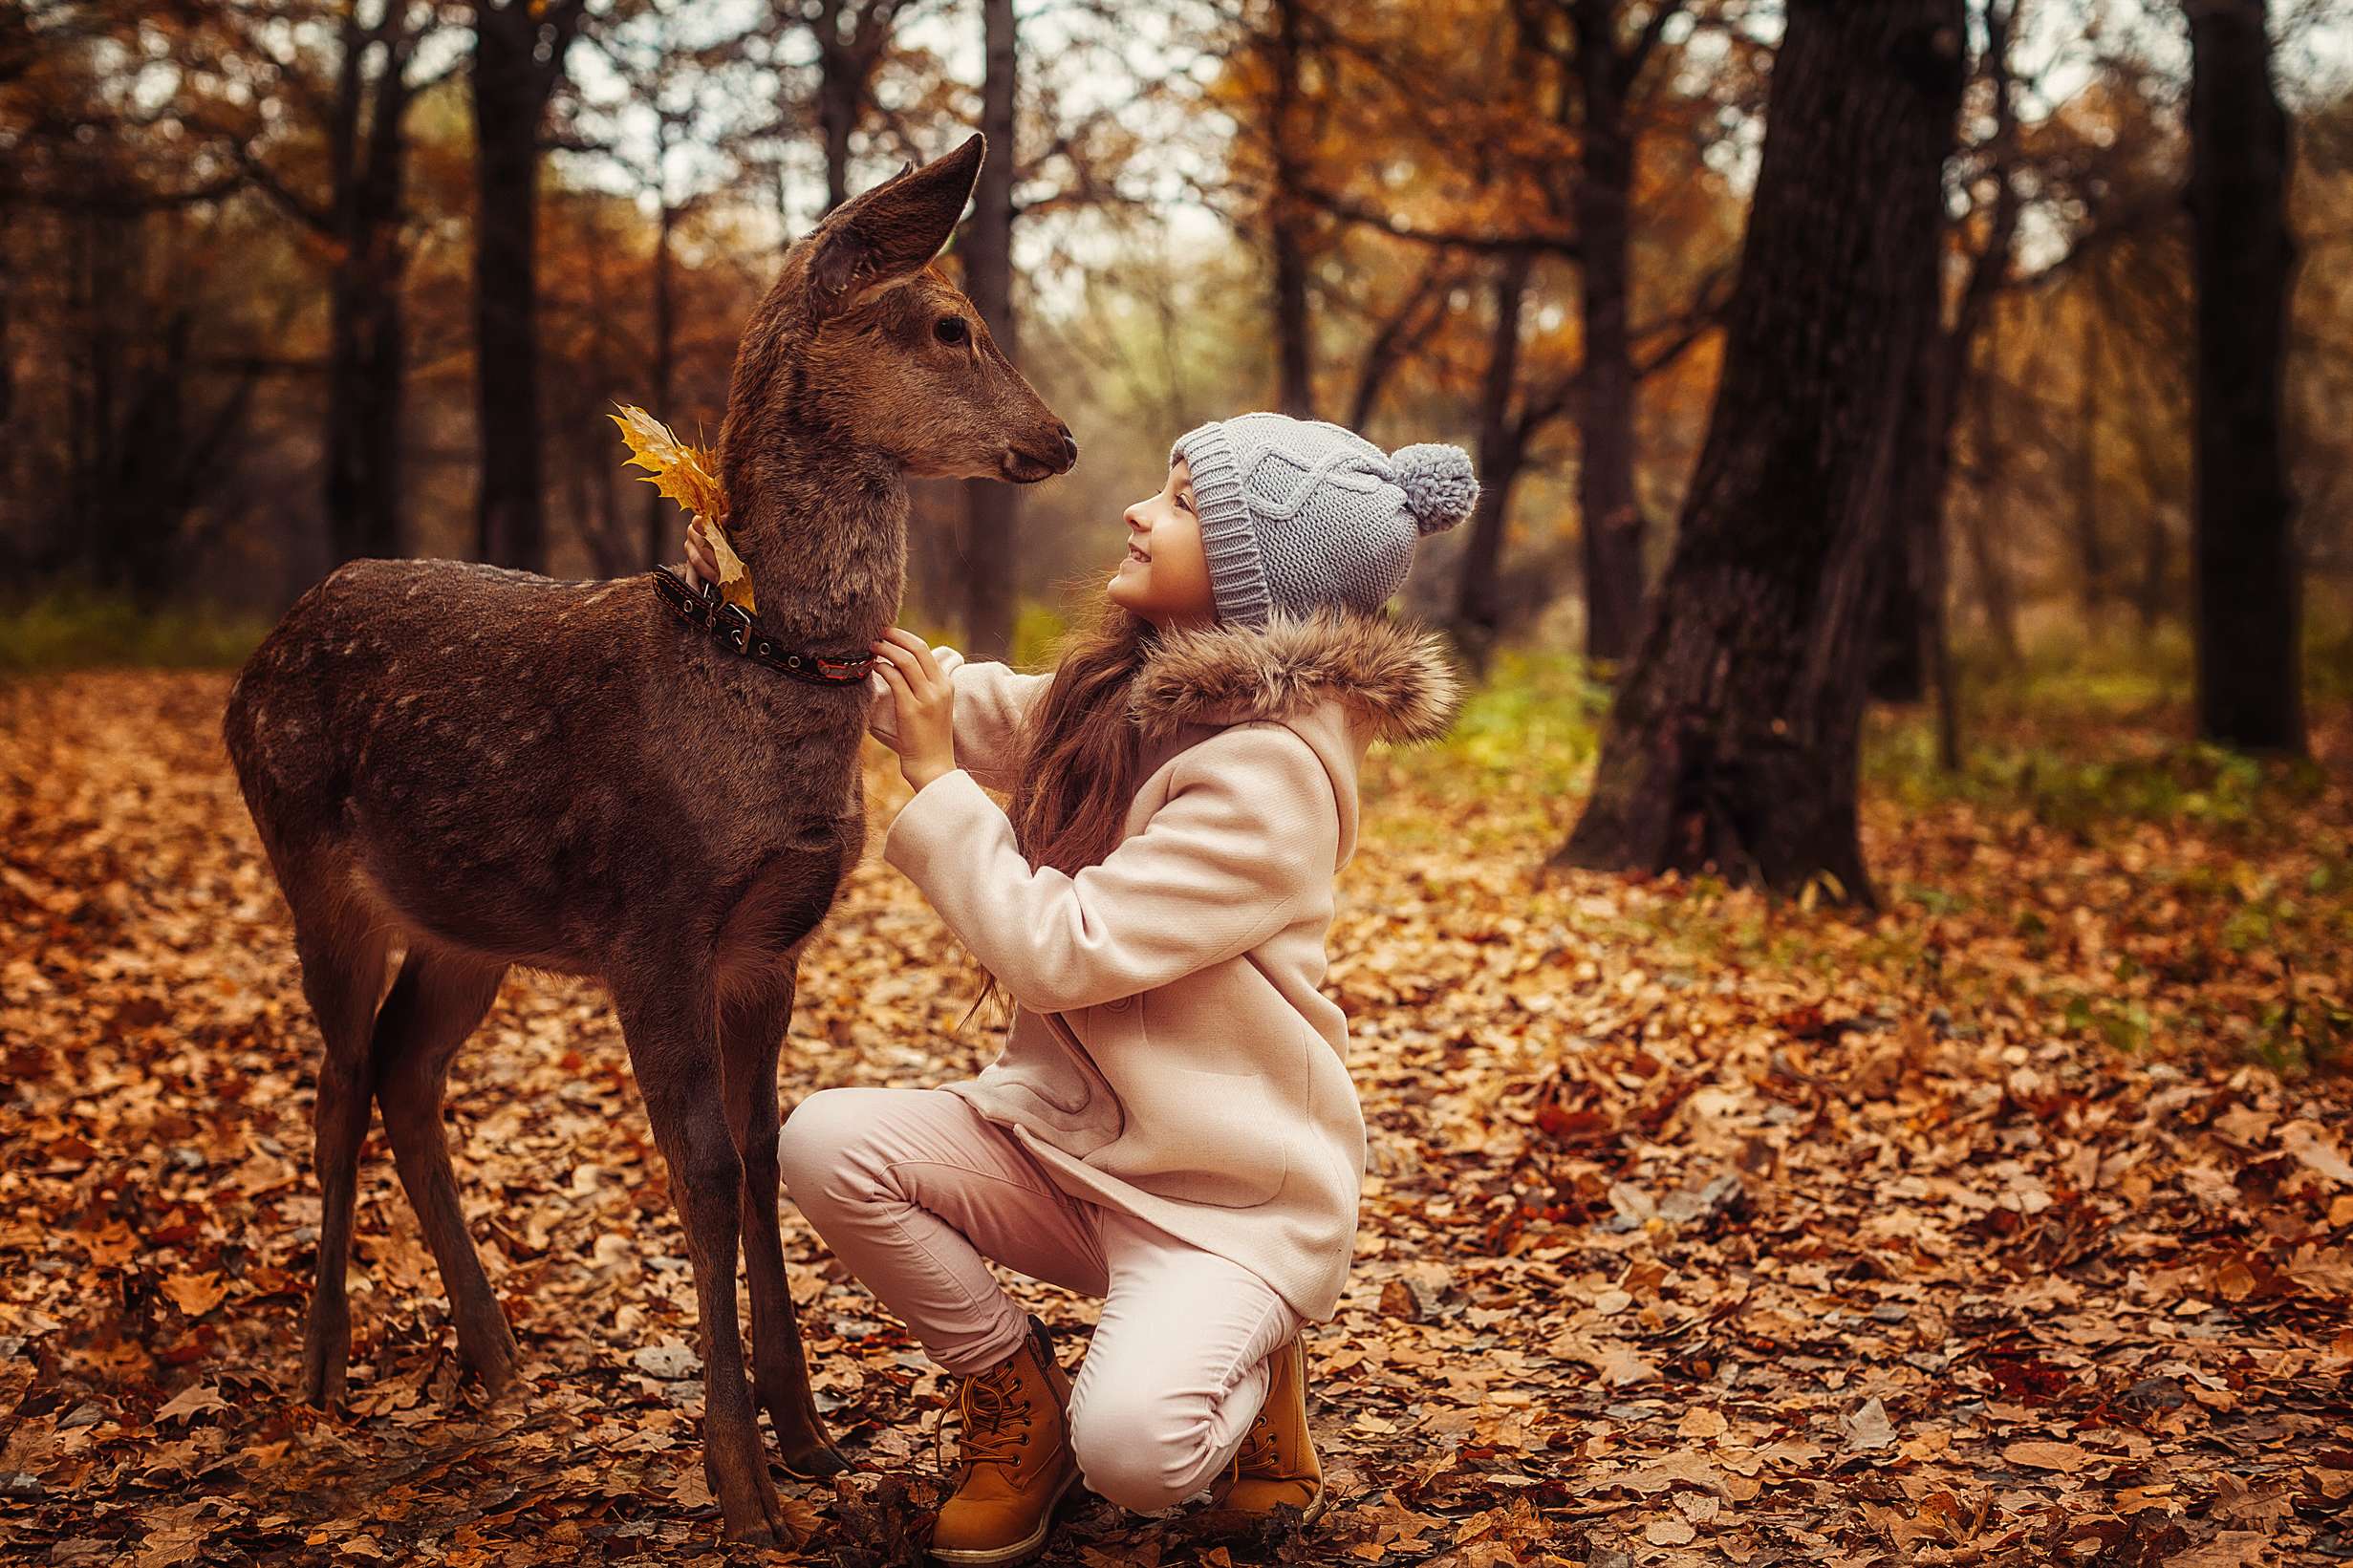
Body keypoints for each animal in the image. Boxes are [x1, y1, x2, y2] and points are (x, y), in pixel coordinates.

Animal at [221, 131, 1077, 1541]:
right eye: (950, 325)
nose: (1055, 438)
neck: (750, 684)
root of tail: (259, 656)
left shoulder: (768, 945)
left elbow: (765, 1152)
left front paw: (809, 1438)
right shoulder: (652, 921)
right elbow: (704, 1168)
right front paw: (741, 1484)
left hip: (469, 927)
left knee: (405, 1071)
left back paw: (495, 1353)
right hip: (310, 866)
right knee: (339, 1080)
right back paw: (325, 1365)